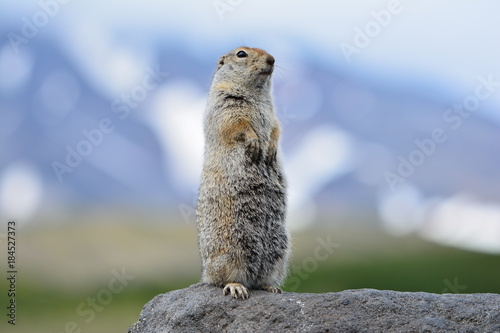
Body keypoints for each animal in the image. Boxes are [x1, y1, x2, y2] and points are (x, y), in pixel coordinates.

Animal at [195, 46, 290, 298]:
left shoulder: (273, 113)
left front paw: (271, 148)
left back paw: (270, 287)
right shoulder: (223, 104)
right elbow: (235, 123)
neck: (256, 94)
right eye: (241, 54)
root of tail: (205, 274)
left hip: (279, 249)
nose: (272, 59)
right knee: (223, 279)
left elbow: (276, 127)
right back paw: (236, 287)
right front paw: (254, 143)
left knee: (261, 277)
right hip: (232, 249)